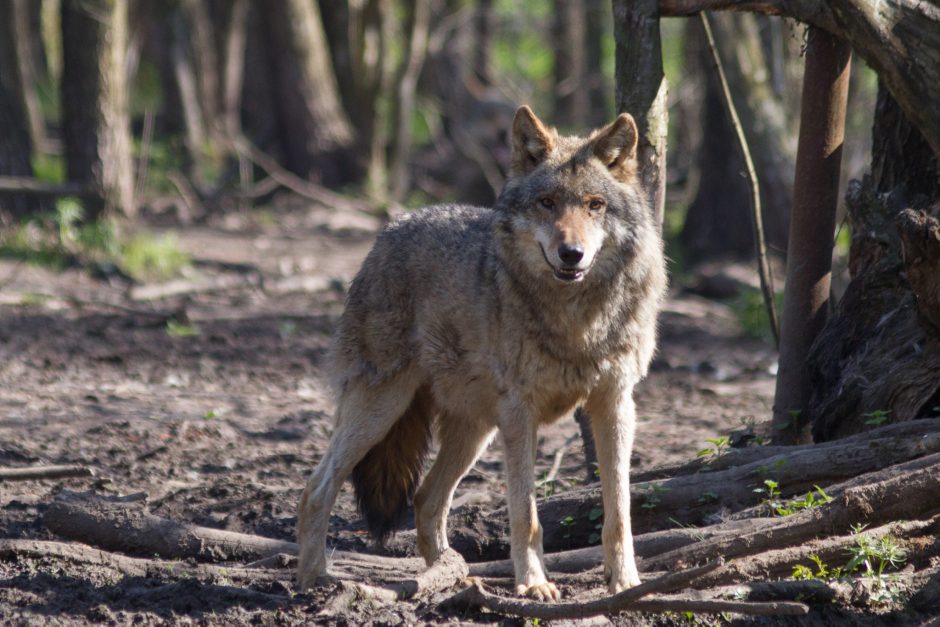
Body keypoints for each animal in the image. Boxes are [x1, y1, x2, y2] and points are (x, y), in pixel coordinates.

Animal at [298, 105, 664, 600]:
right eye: (546, 203)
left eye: (594, 204)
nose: (571, 253)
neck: (576, 319)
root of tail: (392, 227)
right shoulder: (521, 412)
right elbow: (526, 515)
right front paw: (533, 585)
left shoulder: (615, 404)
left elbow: (619, 512)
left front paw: (626, 581)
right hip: (383, 410)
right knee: (316, 488)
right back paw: (314, 580)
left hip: (475, 429)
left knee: (426, 499)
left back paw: (450, 574)